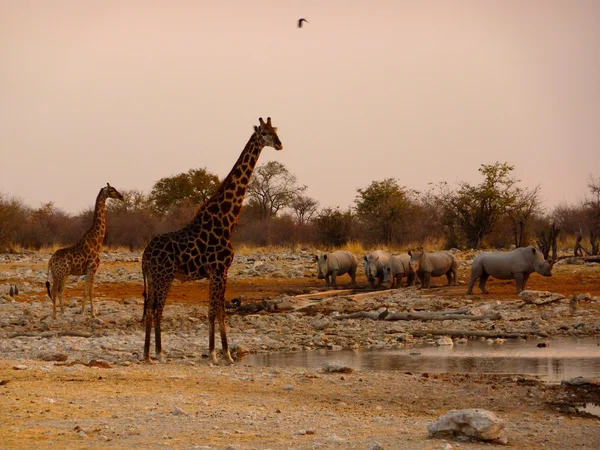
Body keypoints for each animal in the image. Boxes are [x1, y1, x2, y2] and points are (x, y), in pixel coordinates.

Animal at [46, 183, 124, 320]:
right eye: (111, 190)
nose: (122, 196)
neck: (97, 242)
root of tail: (51, 260)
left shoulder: (88, 271)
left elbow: (85, 291)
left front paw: (83, 311)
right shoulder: (92, 269)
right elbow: (90, 291)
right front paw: (91, 313)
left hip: (56, 275)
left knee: (55, 290)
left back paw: (59, 313)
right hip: (63, 274)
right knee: (58, 290)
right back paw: (58, 314)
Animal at [144, 118, 284, 364]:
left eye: (276, 131)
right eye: (265, 133)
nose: (279, 144)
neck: (226, 220)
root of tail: (144, 254)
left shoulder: (222, 272)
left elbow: (219, 310)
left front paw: (224, 353)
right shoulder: (219, 270)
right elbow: (213, 310)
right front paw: (216, 353)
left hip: (153, 278)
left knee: (151, 307)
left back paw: (147, 354)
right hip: (164, 276)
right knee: (157, 308)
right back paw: (159, 353)